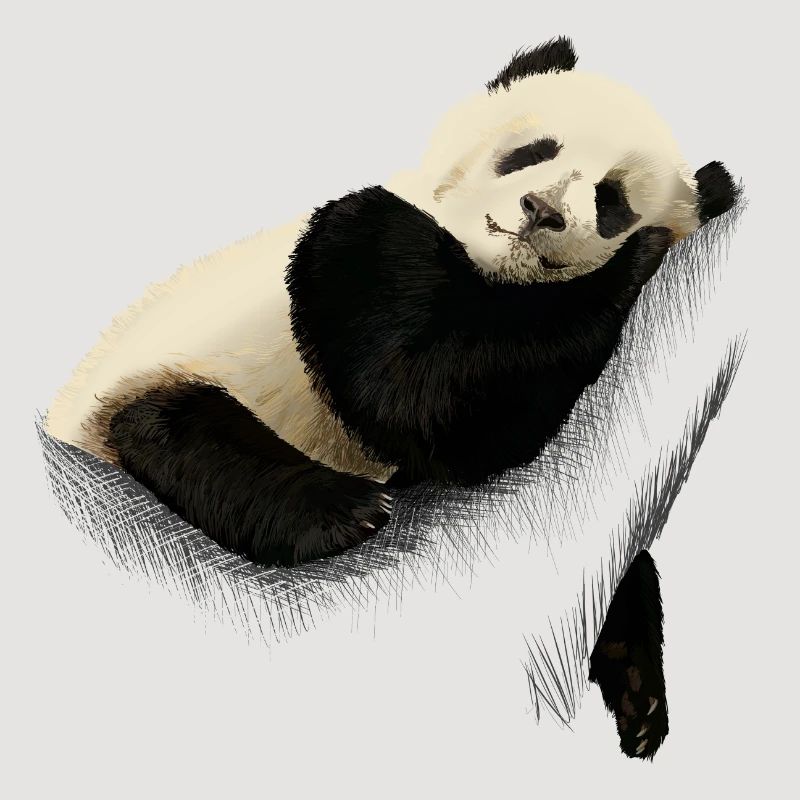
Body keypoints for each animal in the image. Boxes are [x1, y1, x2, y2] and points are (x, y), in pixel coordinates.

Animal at [46, 36, 737, 570]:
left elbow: (470, 414)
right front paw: (635, 259)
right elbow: (419, 395)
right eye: (533, 151)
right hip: (159, 377)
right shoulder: (351, 245)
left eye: (611, 200)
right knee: (178, 431)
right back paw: (340, 510)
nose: (541, 210)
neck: (482, 263)